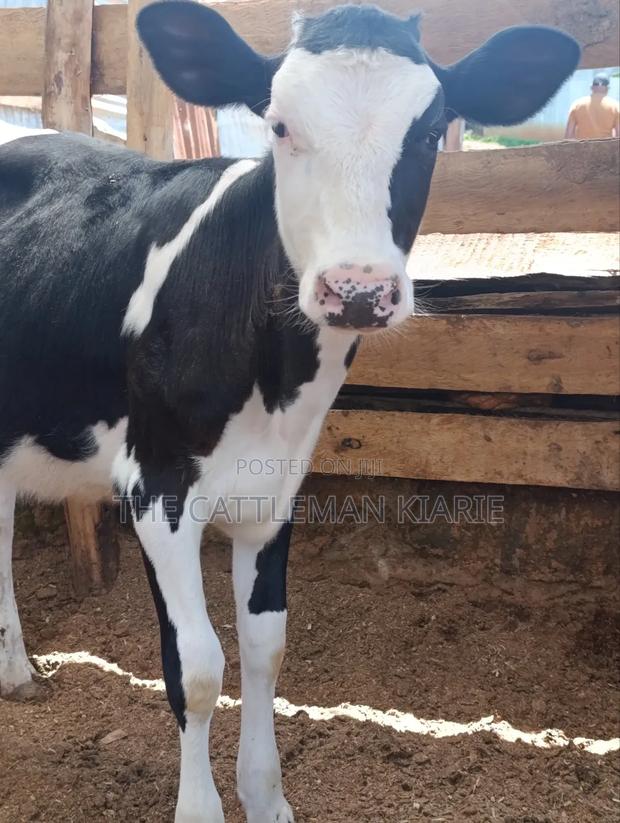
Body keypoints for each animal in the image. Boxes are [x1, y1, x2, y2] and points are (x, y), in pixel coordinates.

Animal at [0, 3, 579, 821]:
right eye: (277, 125)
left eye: (432, 129)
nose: (359, 289)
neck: (267, 379)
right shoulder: (155, 485)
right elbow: (196, 666)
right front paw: (201, 808)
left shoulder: (278, 488)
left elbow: (264, 646)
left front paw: (266, 796)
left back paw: (16, 670)